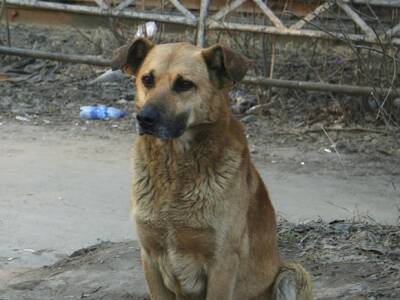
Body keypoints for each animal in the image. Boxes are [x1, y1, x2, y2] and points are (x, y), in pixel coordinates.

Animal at [112, 38, 312, 298]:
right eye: (147, 79)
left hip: (294, 272)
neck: (173, 167)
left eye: (184, 84)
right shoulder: (150, 258)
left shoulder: (222, 263)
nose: (144, 118)